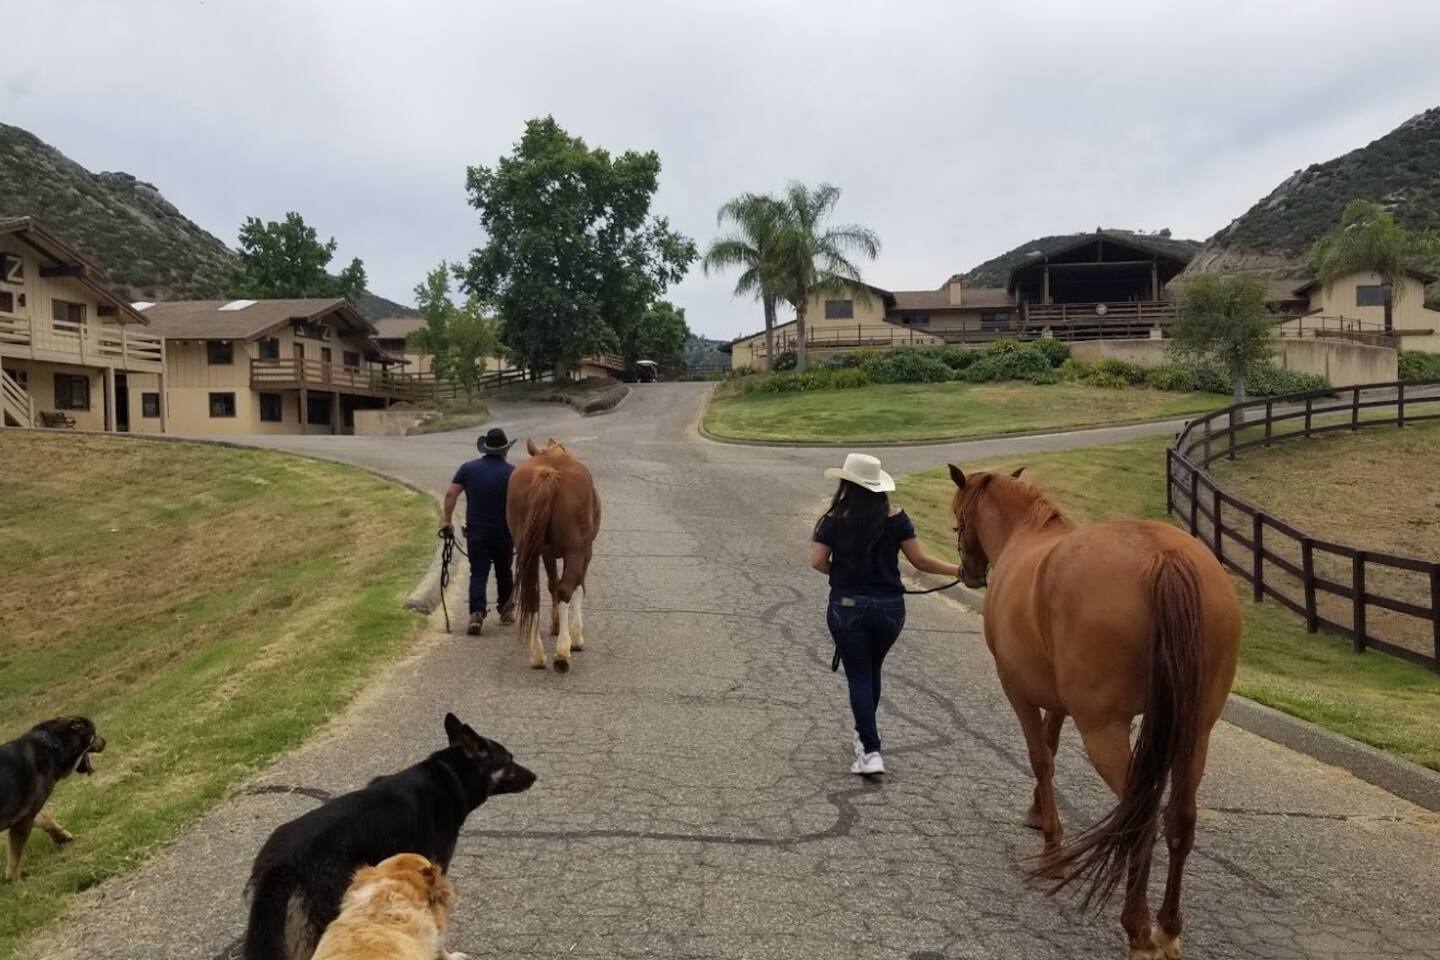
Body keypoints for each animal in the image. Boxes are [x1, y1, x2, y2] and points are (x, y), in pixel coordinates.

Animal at [1, 716, 105, 880]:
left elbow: (46, 819)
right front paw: (14, 879)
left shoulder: (28, 813)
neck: (54, 745)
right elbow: (15, 856)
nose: (105, 742)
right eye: (95, 734)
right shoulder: (24, 818)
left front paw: (62, 836)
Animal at [506, 440, 601, 673]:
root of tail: (548, 473)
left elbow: (552, 585)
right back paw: (562, 653)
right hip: (576, 550)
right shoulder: (585, 551)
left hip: (527, 550)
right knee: (566, 588)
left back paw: (537, 655)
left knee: (533, 595)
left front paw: (557, 625)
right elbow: (577, 586)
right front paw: (576, 637)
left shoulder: (546, 553)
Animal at [950, 460, 1244, 955]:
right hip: (1195, 731)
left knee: (1141, 818)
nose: (968, 572)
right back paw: (1167, 928)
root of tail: (1163, 557)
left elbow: (1041, 757)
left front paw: (1052, 849)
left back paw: (1139, 929)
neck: (1026, 537)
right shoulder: (1057, 699)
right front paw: (1038, 815)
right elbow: (1050, 747)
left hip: (1104, 730)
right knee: (1179, 817)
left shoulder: (1017, 690)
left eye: (958, 518)